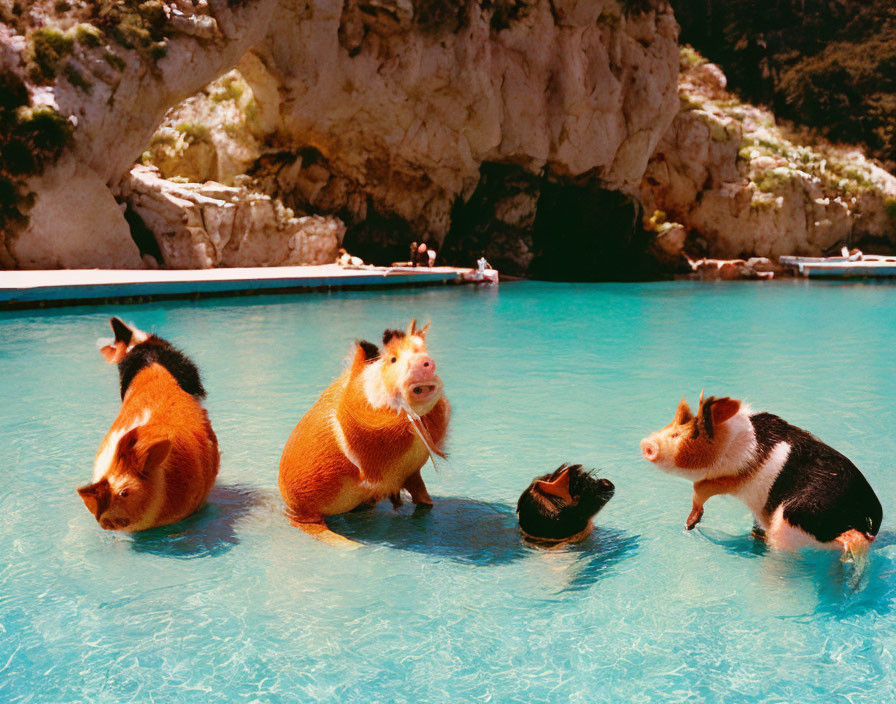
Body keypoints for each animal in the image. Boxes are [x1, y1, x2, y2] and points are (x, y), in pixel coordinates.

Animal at [640, 390, 884, 556]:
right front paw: (688, 525)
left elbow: (699, 489)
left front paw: (689, 525)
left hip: (791, 521)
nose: (645, 444)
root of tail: (868, 520)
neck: (734, 443)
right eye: (671, 427)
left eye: (684, 435)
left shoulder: (728, 479)